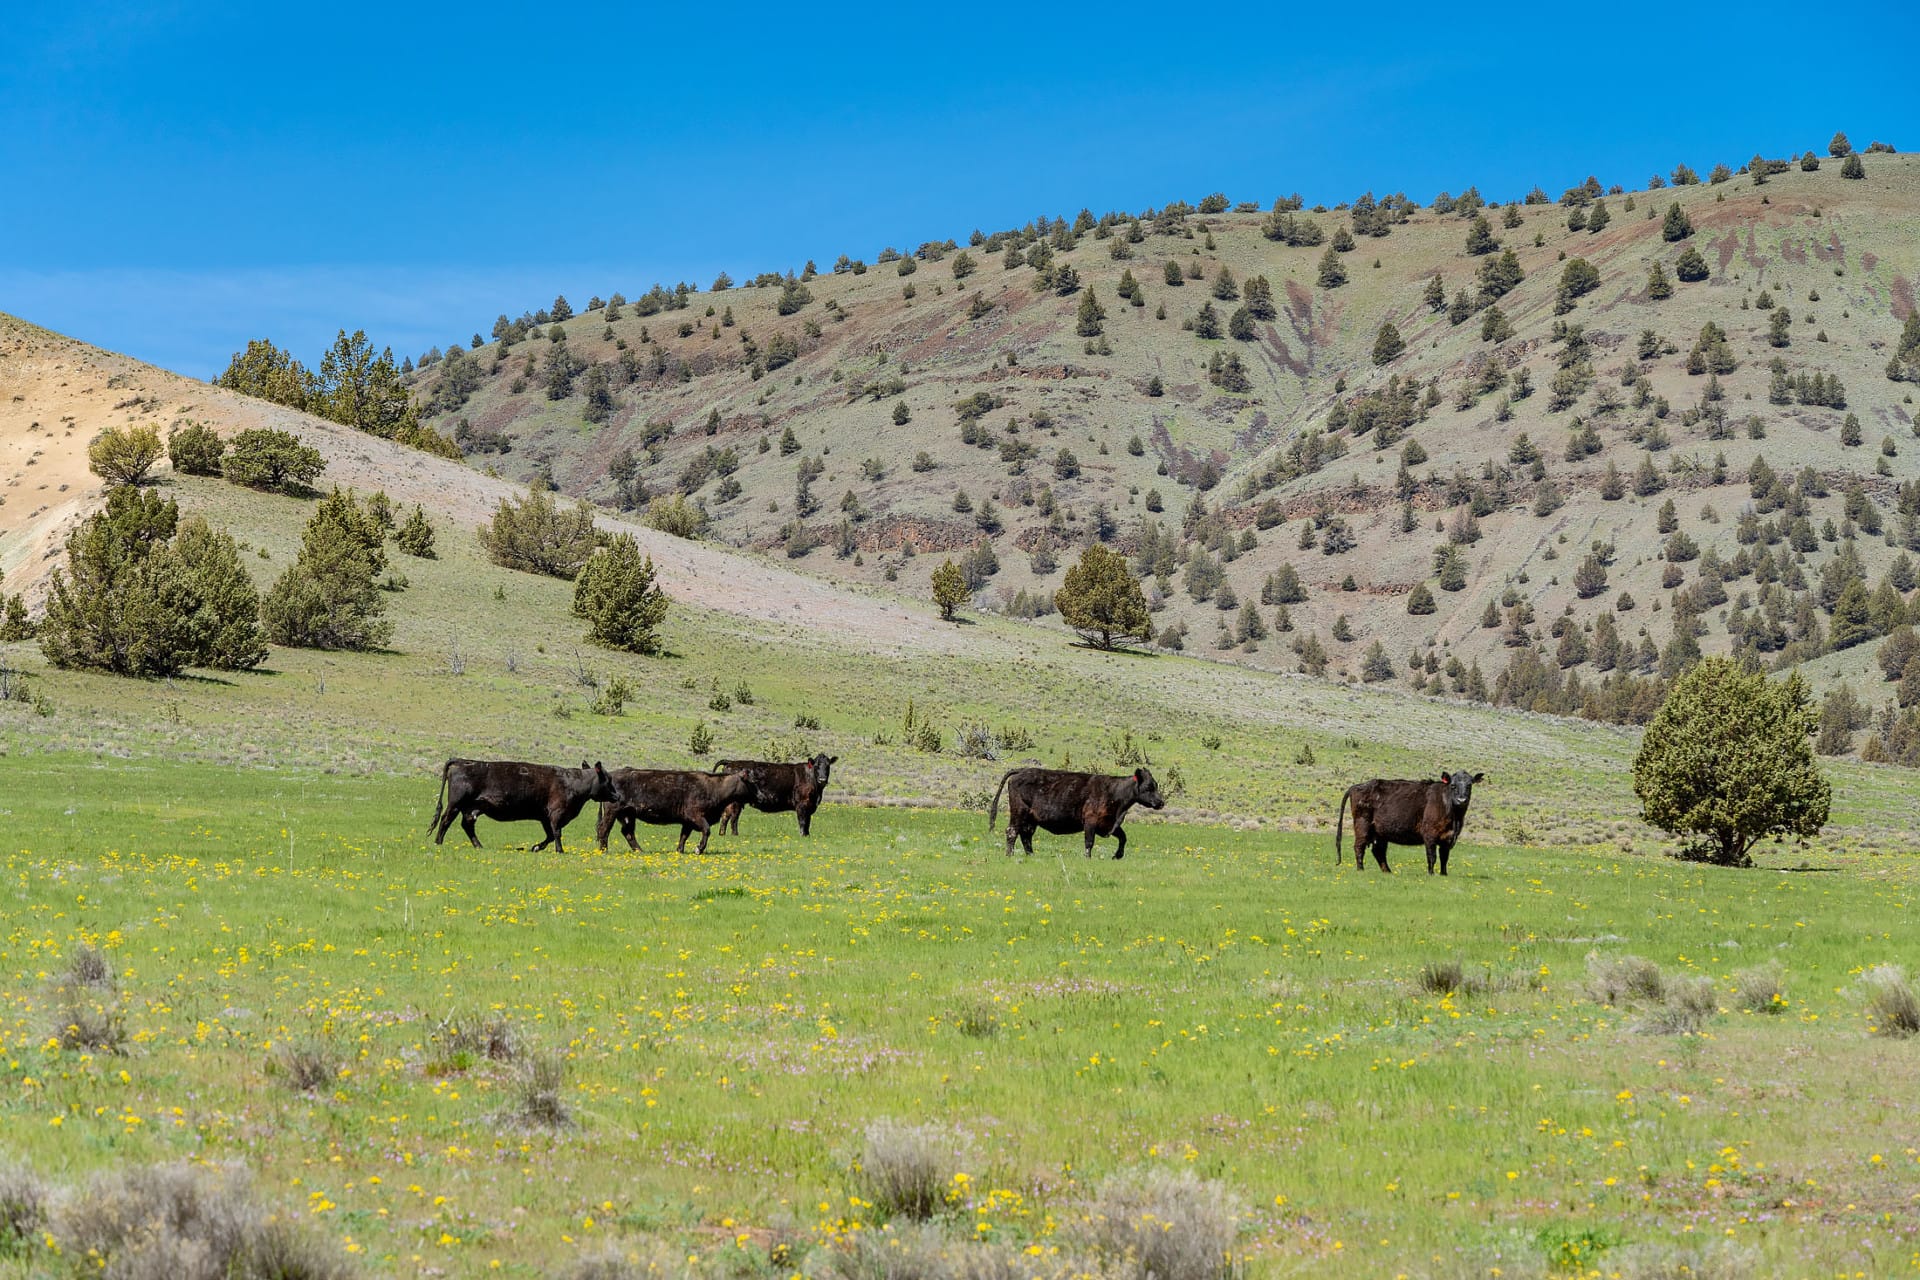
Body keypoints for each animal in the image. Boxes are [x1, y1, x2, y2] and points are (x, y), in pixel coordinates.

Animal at [430, 756, 610, 855]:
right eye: (608, 780)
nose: (615, 795)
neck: (573, 781)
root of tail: (463, 761)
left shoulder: (546, 818)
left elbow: (550, 835)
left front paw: (536, 847)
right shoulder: (556, 814)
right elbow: (557, 834)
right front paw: (560, 851)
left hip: (472, 808)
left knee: (466, 825)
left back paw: (479, 846)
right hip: (455, 804)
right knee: (445, 820)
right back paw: (438, 842)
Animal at [595, 767, 752, 855]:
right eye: (752, 781)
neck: (712, 786)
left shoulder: (688, 822)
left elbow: (684, 836)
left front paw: (680, 850)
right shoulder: (696, 816)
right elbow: (706, 830)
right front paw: (698, 849)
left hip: (628, 815)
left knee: (627, 832)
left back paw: (640, 851)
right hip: (612, 812)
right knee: (604, 829)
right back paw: (604, 851)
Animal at [990, 771, 1167, 859]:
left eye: (1155, 785)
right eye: (1148, 787)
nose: (1161, 802)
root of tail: (1021, 771)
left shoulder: (1108, 824)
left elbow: (1123, 837)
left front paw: (1118, 855)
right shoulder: (1090, 821)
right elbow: (1089, 842)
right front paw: (1088, 858)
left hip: (1031, 819)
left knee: (1026, 835)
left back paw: (1031, 856)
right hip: (1019, 813)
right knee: (1012, 832)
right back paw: (1009, 855)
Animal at [1336, 767, 1482, 875]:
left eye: (1469, 785)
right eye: (1453, 785)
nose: (1461, 800)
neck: (1454, 816)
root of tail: (1358, 786)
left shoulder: (1448, 838)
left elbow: (1444, 857)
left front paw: (1443, 874)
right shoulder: (1429, 834)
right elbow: (1432, 856)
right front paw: (1431, 874)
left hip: (1380, 832)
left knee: (1378, 851)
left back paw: (1388, 872)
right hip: (1362, 824)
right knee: (1359, 847)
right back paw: (1361, 869)